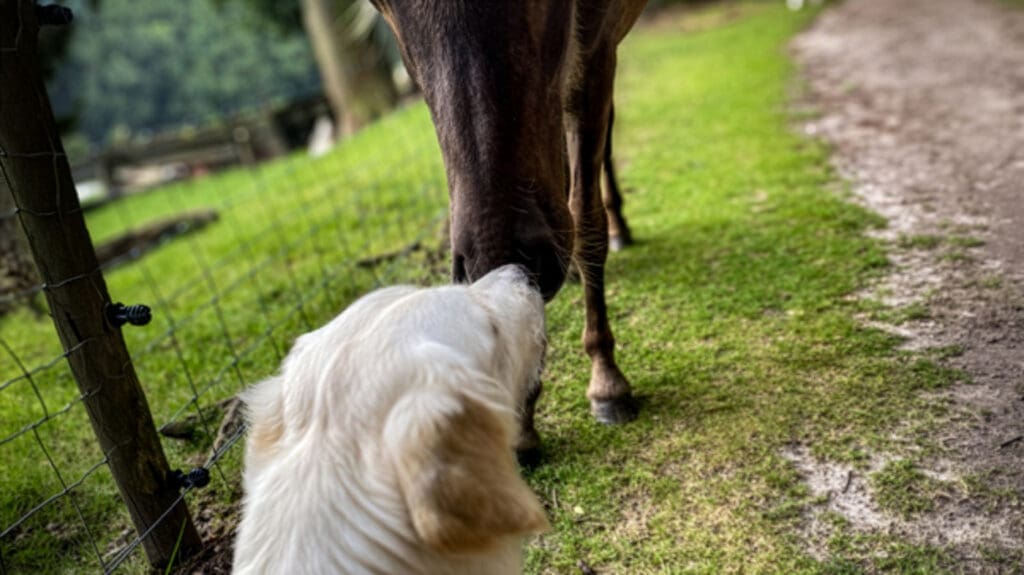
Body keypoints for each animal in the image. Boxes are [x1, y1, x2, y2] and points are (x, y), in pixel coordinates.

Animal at [369, 0, 648, 451]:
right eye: (382, 6)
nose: (502, 258)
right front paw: (521, 414)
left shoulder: (598, 49)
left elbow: (587, 219)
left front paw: (607, 381)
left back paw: (618, 228)